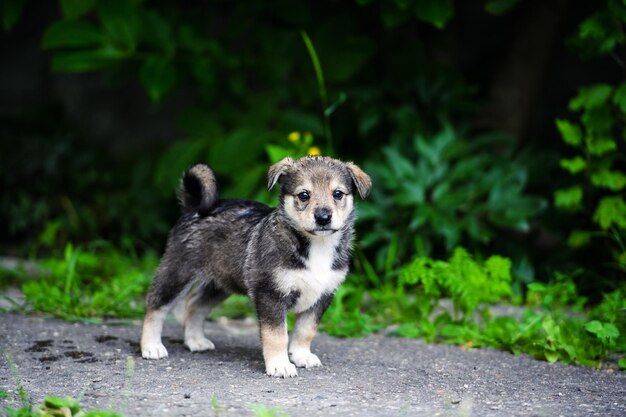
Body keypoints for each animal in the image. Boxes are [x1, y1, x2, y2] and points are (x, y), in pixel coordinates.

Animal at [139, 155, 368, 376]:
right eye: (304, 195)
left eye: (338, 194)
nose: (323, 217)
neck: (316, 246)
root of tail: (194, 206)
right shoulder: (271, 294)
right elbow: (277, 335)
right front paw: (280, 365)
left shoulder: (322, 296)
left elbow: (306, 330)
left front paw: (301, 356)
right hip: (178, 272)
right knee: (155, 305)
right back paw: (151, 346)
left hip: (220, 283)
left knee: (195, 304)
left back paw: (195, 341)